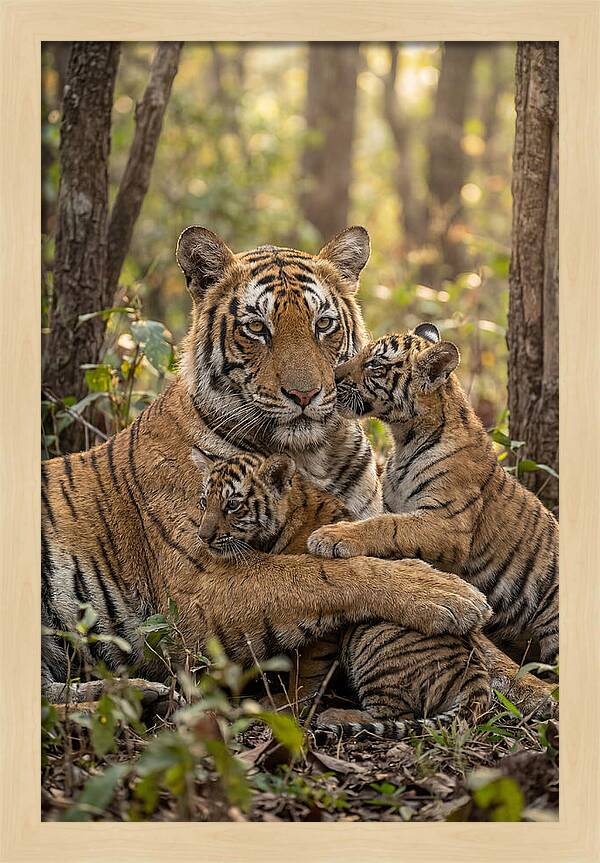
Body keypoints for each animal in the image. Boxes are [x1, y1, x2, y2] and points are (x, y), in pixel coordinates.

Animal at [191, 447, 492, 729]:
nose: (203, 537)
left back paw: (336, 716)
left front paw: (289, 704)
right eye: (204, 502)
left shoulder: (323, 621)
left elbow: (307, 669)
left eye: (232, 505)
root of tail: (476, 674)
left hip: (373, 639)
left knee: (394, 714)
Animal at [308, 323, 559, 669]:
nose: (332, 376)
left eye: (375, 366)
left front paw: (332, 536)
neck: (404, 438)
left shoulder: (448, 523)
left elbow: (388, 526)